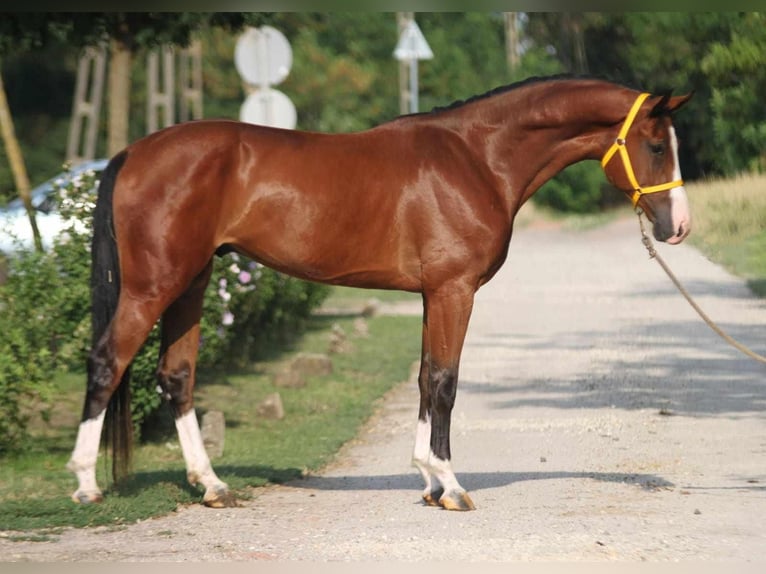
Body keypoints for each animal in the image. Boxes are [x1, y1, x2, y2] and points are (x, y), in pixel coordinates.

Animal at [67, 76, 696, 512]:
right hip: (154, 286)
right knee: (107, 362)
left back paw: (212, 485)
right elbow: (444, 382)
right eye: (655, 146)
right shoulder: (453, 290)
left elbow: (423, 378)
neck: (477, 158)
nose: (679, 226)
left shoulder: (430, 294)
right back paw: (86, 486)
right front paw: (451, 486)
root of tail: (132, 153)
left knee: (177, 375)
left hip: (191, 284)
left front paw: (427, 481)